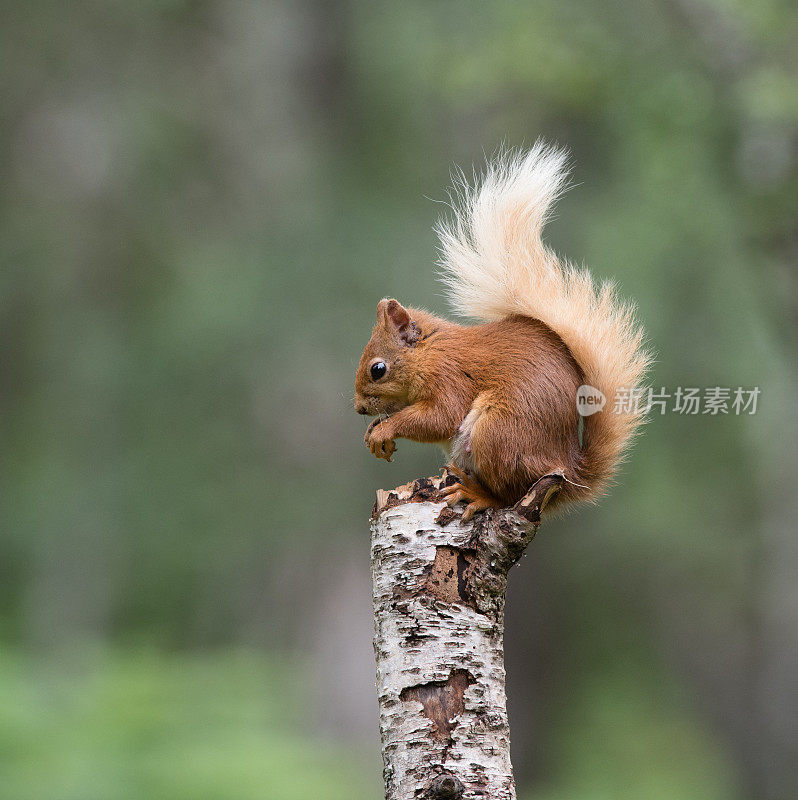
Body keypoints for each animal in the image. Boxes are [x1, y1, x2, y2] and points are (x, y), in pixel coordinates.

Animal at [354, 143, 648, 520]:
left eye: (378, 369)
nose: (359, 409)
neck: (431, 351)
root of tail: (567, 470)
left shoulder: (450, 378)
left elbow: (439, 418)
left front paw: (386, 428)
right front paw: (374, 432)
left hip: (498, 432)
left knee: (509, 494)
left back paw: (476, 494)